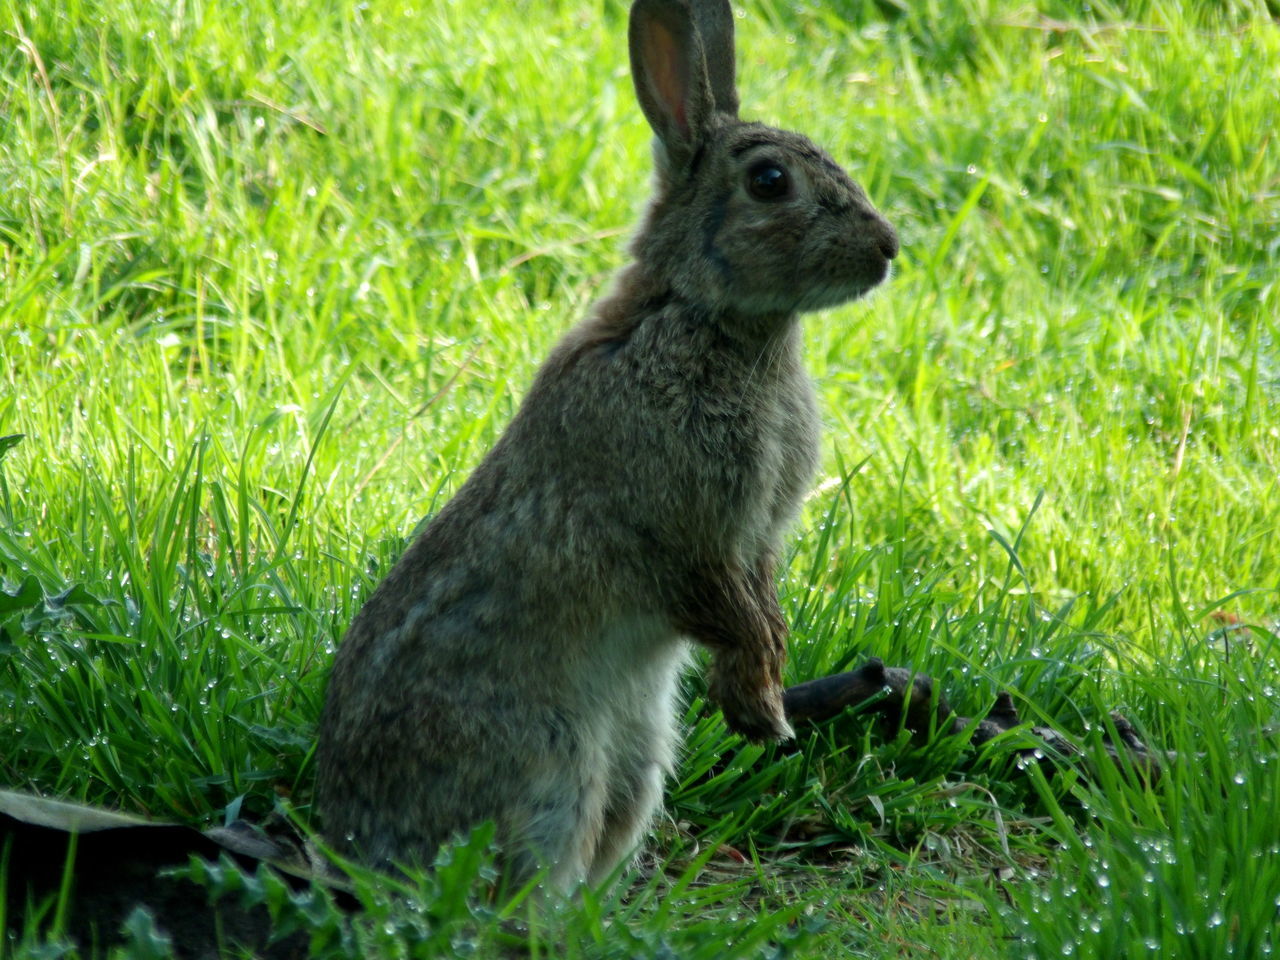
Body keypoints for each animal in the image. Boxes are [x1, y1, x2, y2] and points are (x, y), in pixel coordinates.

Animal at [317, 0, 901, 896]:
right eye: (770, 182)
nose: (887, 247)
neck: (705, 316)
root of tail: (352, 843)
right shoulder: (685, 533)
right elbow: (724, 604)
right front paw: (763, 709)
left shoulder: (757, 539)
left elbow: (761, 603)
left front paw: (764, 707)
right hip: (555, 764)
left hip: (638, 754)